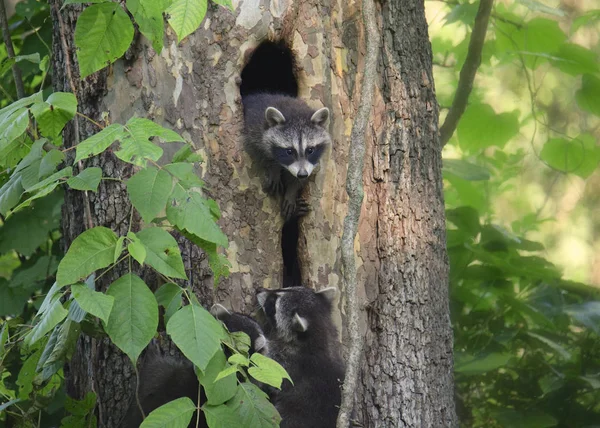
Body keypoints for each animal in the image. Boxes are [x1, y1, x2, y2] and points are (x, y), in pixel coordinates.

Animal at [239, 39, 332, 221]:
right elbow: (260, 153)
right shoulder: (254, 126)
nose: (302, 174)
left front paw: (292, 191)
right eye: (289, 151)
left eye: (310, 150)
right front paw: (274, 167)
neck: (293, 111)